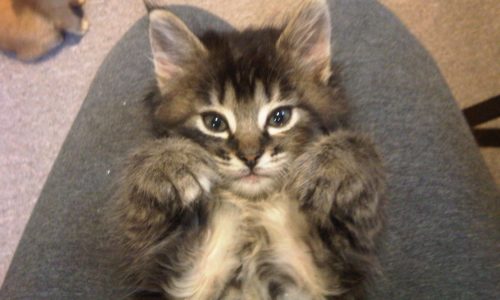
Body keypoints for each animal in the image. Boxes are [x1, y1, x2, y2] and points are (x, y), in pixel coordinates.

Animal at [112, 1, 386, 298]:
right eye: (214, 122)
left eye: (280, 117)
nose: (250, 157)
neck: (252, 206)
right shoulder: (167, 258)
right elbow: (140, 178)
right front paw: (170, 161)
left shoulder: (337, 260)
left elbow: (361, 147)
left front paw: (332, 164)